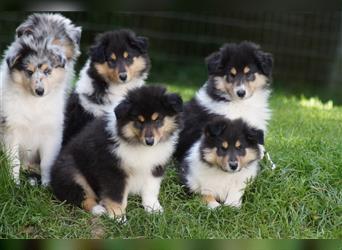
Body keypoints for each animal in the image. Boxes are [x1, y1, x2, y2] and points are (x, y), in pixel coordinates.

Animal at [0, 14, 81, 186]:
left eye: (47, 71)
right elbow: (14, 160)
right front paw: (14, 183)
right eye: (29, 72)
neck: (34, 102)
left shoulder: (51, 133)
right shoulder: (11, 130)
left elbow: (47, 162)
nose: (40, 91)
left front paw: (46, 186)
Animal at [50, 86, 183, 219]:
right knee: (81, 197)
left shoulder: (155, 167)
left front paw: (154, 209)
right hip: (71, 172)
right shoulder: (113, 170)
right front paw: (118, 217)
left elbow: (151, 189)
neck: (137, 144)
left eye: (158, 119)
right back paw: (99, 209)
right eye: (139, 121)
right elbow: (116, 197)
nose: (150, 141)